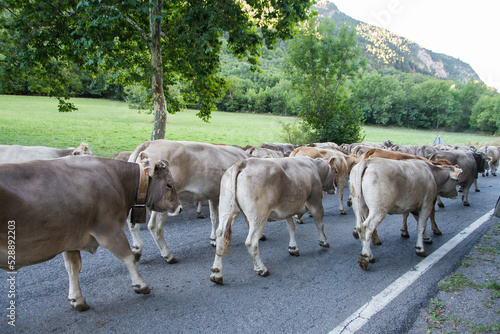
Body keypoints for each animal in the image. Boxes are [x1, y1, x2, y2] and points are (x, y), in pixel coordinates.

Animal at [0, 154, 184, 310]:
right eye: (169, 184)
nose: (180, 208)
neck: (117, 179)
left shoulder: (71, 237)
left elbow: (73, 266)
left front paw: (77, 299)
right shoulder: (109, 228)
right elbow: (128, 256)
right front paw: (140, 284)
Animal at [209, 157, 338, 284]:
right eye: (336, 171)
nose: (334, 189)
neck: (314, 168)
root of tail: (244, 162)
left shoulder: (287, 209)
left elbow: (291, 227)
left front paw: (293, 248)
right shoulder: (315, 201)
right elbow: (320, 223)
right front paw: (323, 241)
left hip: (226, 208)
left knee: (220, 236)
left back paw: (216, 273)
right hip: (258, 216)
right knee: (251, 242)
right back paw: (261, 269)